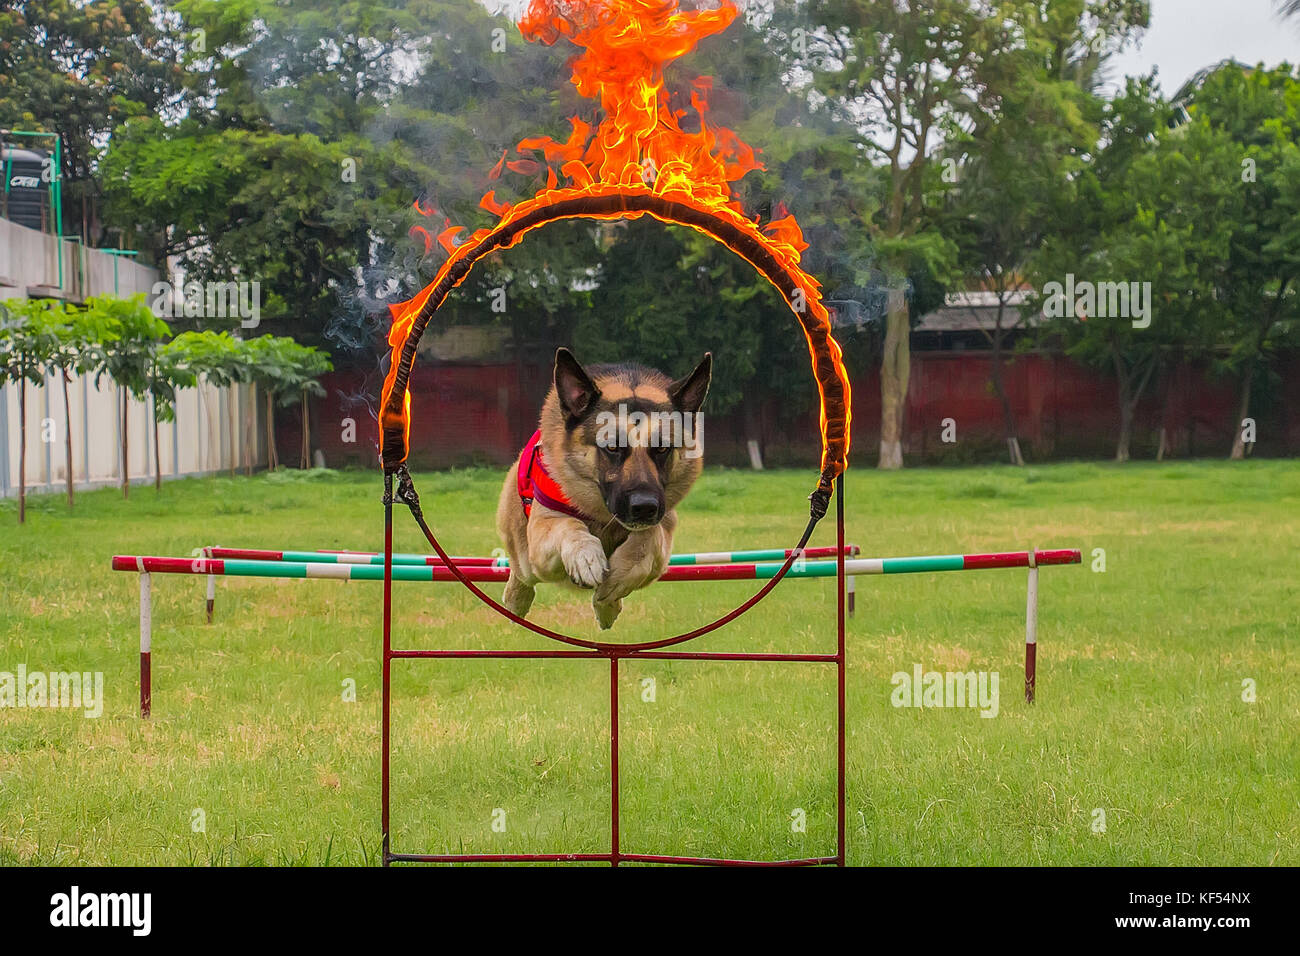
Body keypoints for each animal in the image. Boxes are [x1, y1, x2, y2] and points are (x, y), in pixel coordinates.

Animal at [493, 348, 712, 632]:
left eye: (662, 448)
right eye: (612, 447)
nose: (644, 508)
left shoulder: (663, 527)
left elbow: (647, 540)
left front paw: (615, 583)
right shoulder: (544, 533)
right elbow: (570, 526)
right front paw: (585, 556)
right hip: (526, 556)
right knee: (521, 574)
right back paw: (516, 600)